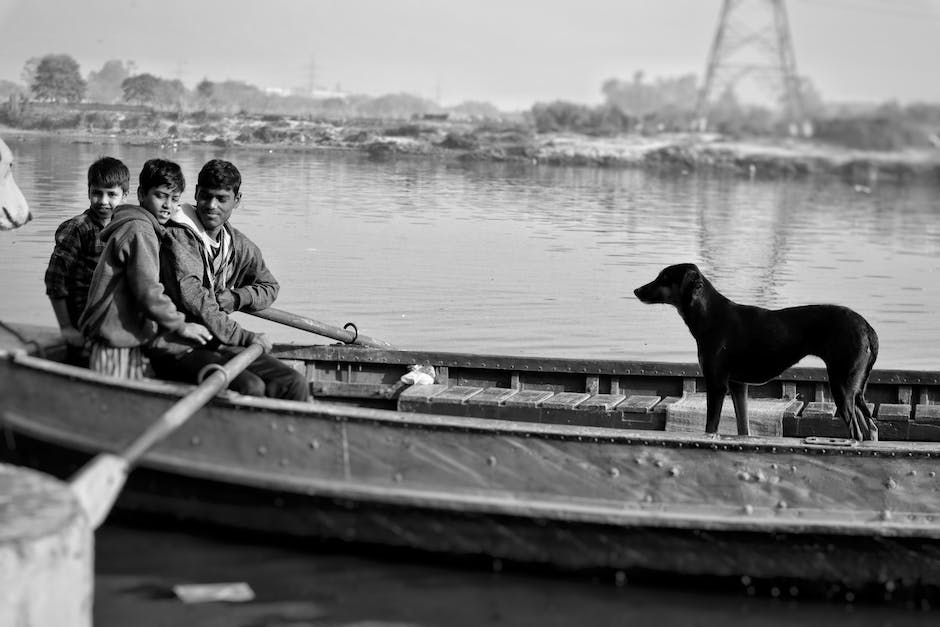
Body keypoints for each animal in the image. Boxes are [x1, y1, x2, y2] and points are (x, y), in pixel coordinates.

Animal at [636, 264, 876, 442]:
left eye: (664, 277)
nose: (636, 291)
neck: (711, 316)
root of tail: (866, 327)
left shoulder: (716, 384)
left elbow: (710, 427)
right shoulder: (738, 385)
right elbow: (743, 428)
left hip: (841, 386)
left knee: (856, 432)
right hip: (854, 390)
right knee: (871, 428)